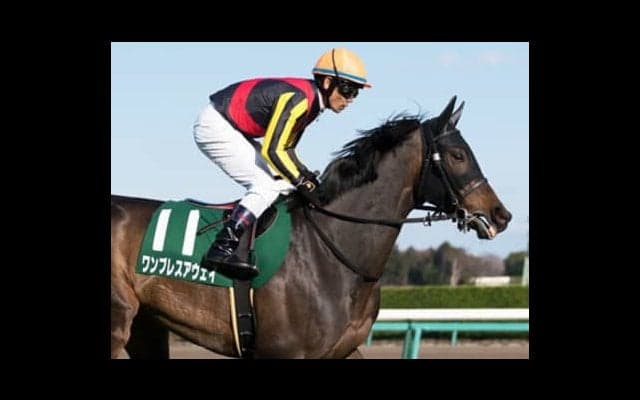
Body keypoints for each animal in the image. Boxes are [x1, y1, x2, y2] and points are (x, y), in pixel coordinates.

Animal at [110, 96, 512, 359]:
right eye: (458, 156)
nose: (500, 214)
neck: (332, 251)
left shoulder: (342, 351)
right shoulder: (285, 353)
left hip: (147, 325)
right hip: (119, 321)